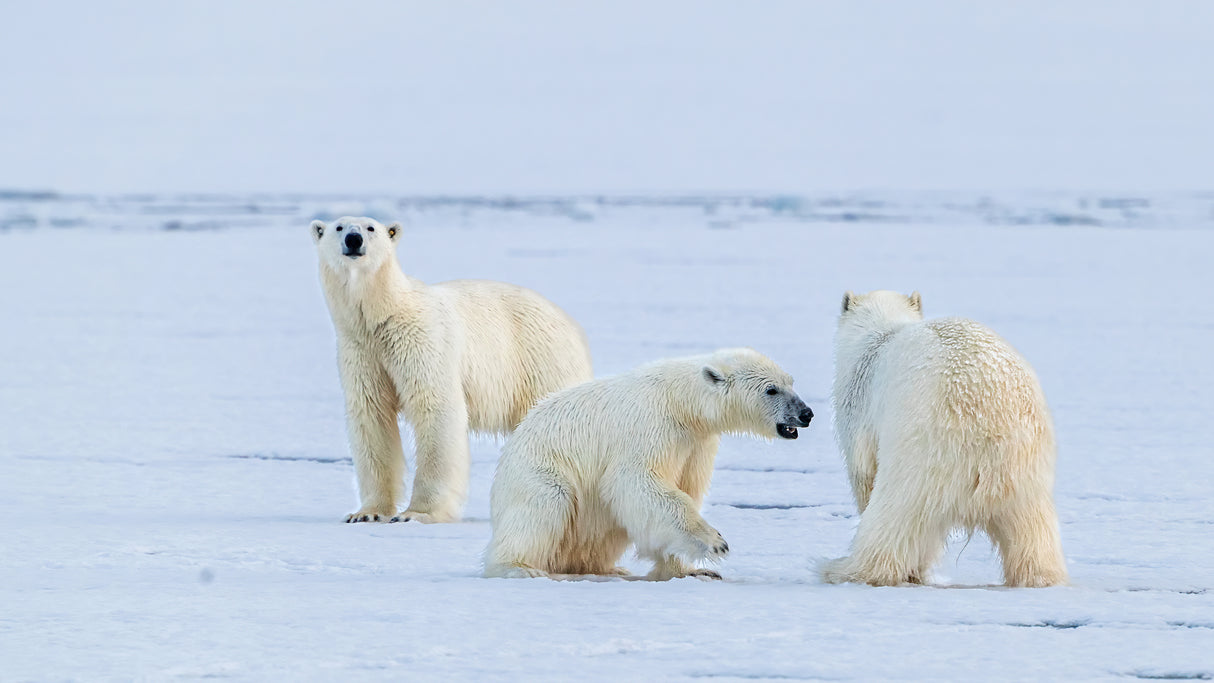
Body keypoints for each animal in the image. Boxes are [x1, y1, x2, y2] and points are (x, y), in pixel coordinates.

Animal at [312, 216, 593, 524]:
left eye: (371, 228)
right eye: (339, 227)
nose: (354, 240)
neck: (382, 316)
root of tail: (571, 325)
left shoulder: (421, 341)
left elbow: (435, 408)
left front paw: (416, 513)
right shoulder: (360, 351)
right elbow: (371, 416)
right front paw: (367, 513)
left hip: (540, 361)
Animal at [483, 348, 814, 580]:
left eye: (790, 381)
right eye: (771, 389)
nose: (806, 413)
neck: (682, 403)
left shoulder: (695, 444)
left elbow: (681, 489)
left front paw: (694, 570)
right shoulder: (650, 427)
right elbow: (639, 482)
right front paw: (714, 543)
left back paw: (608, 568)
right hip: (540, 471)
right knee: (544, 505)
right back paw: (519, 567)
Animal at [821, 290, 1067, 587]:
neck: (881, 332)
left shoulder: (858, 405)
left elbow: (863, 473)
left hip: (922, 448)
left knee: (897, 512)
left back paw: (844, 570)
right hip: (1026, 463)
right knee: (1032, 528)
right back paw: (1040, 577)